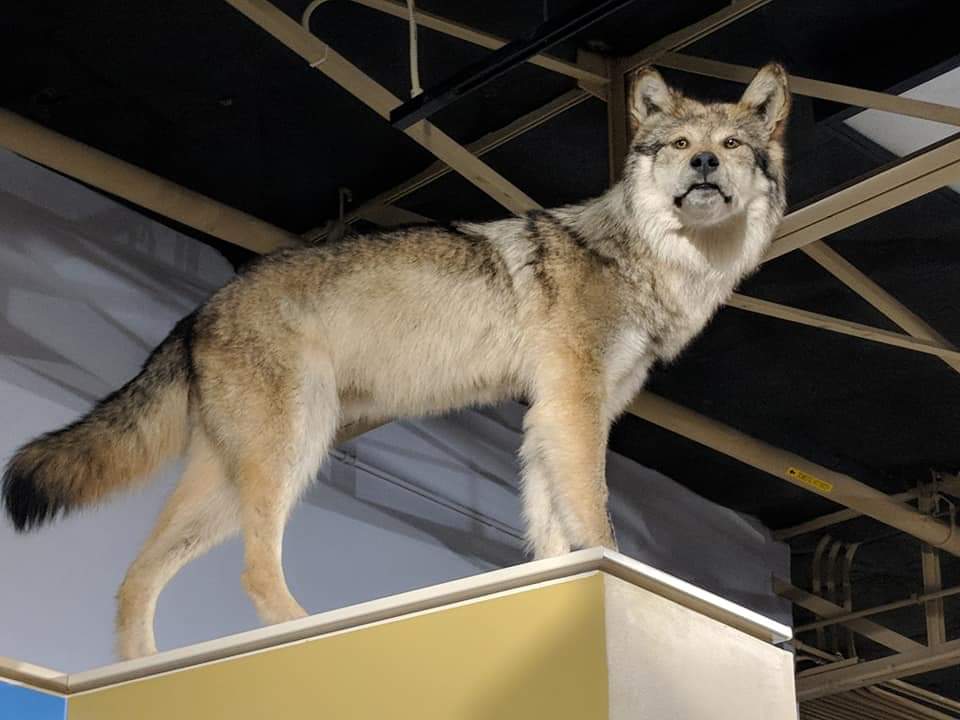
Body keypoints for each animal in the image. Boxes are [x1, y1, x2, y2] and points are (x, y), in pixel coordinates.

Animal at [2, 64, 789, 659]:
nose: (704, 163)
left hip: (227, 482)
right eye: (679, 142)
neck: (654, 263)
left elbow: (549, 535)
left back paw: (135, 670)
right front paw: (611, 576)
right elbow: (596, 523)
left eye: (731, 143)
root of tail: (198, 310)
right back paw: (300, 629)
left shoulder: (549, 415)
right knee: (252, 571)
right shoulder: (575, 405)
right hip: (292, 453)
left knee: (135, 577)